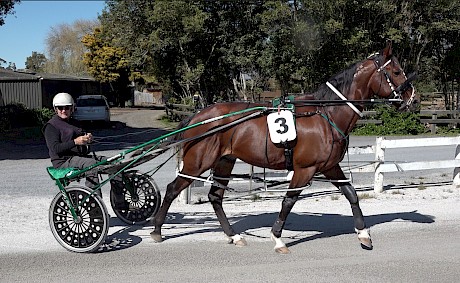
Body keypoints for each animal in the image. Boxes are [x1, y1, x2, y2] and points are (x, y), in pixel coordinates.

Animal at [149, 41, 418, 255]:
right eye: (396, 71)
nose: (412, 99)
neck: (325, 113)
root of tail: (197, 116)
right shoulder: (305, 169)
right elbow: (289, 201)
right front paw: (278, 238)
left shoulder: (329, 166)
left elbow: (351, 194)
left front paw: (364, 235)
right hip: (198, 162)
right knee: (173, 189)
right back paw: (157, 230)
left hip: (225, 161)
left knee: (215, 197)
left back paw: (233, 235)